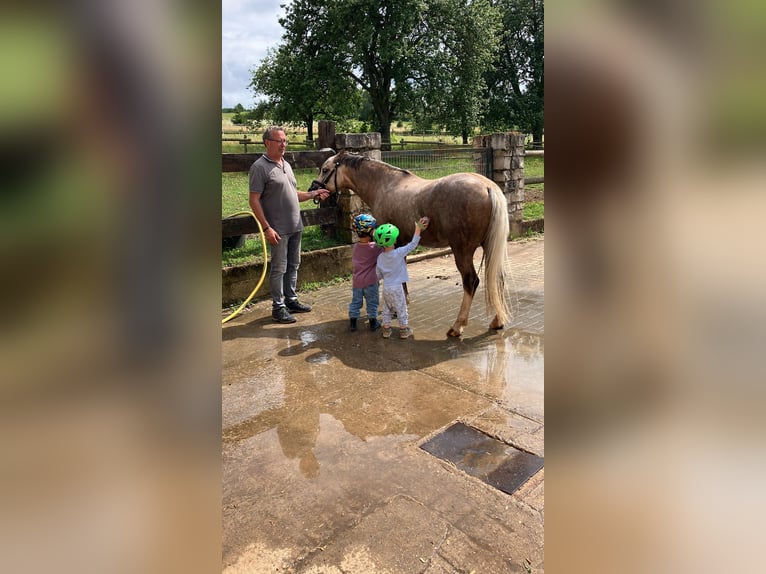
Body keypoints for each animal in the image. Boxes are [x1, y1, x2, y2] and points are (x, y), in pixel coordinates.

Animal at [310, 150, 510, 337]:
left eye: (325, 170)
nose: (314, 188)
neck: (384, 185)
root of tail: (487, 187)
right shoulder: (402, 244)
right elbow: (402, 273)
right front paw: (403, 302)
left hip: (462, 252)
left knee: (471, 282)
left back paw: (457, 326)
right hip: (489, 247)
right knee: (498, 277)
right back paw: (497, 321)